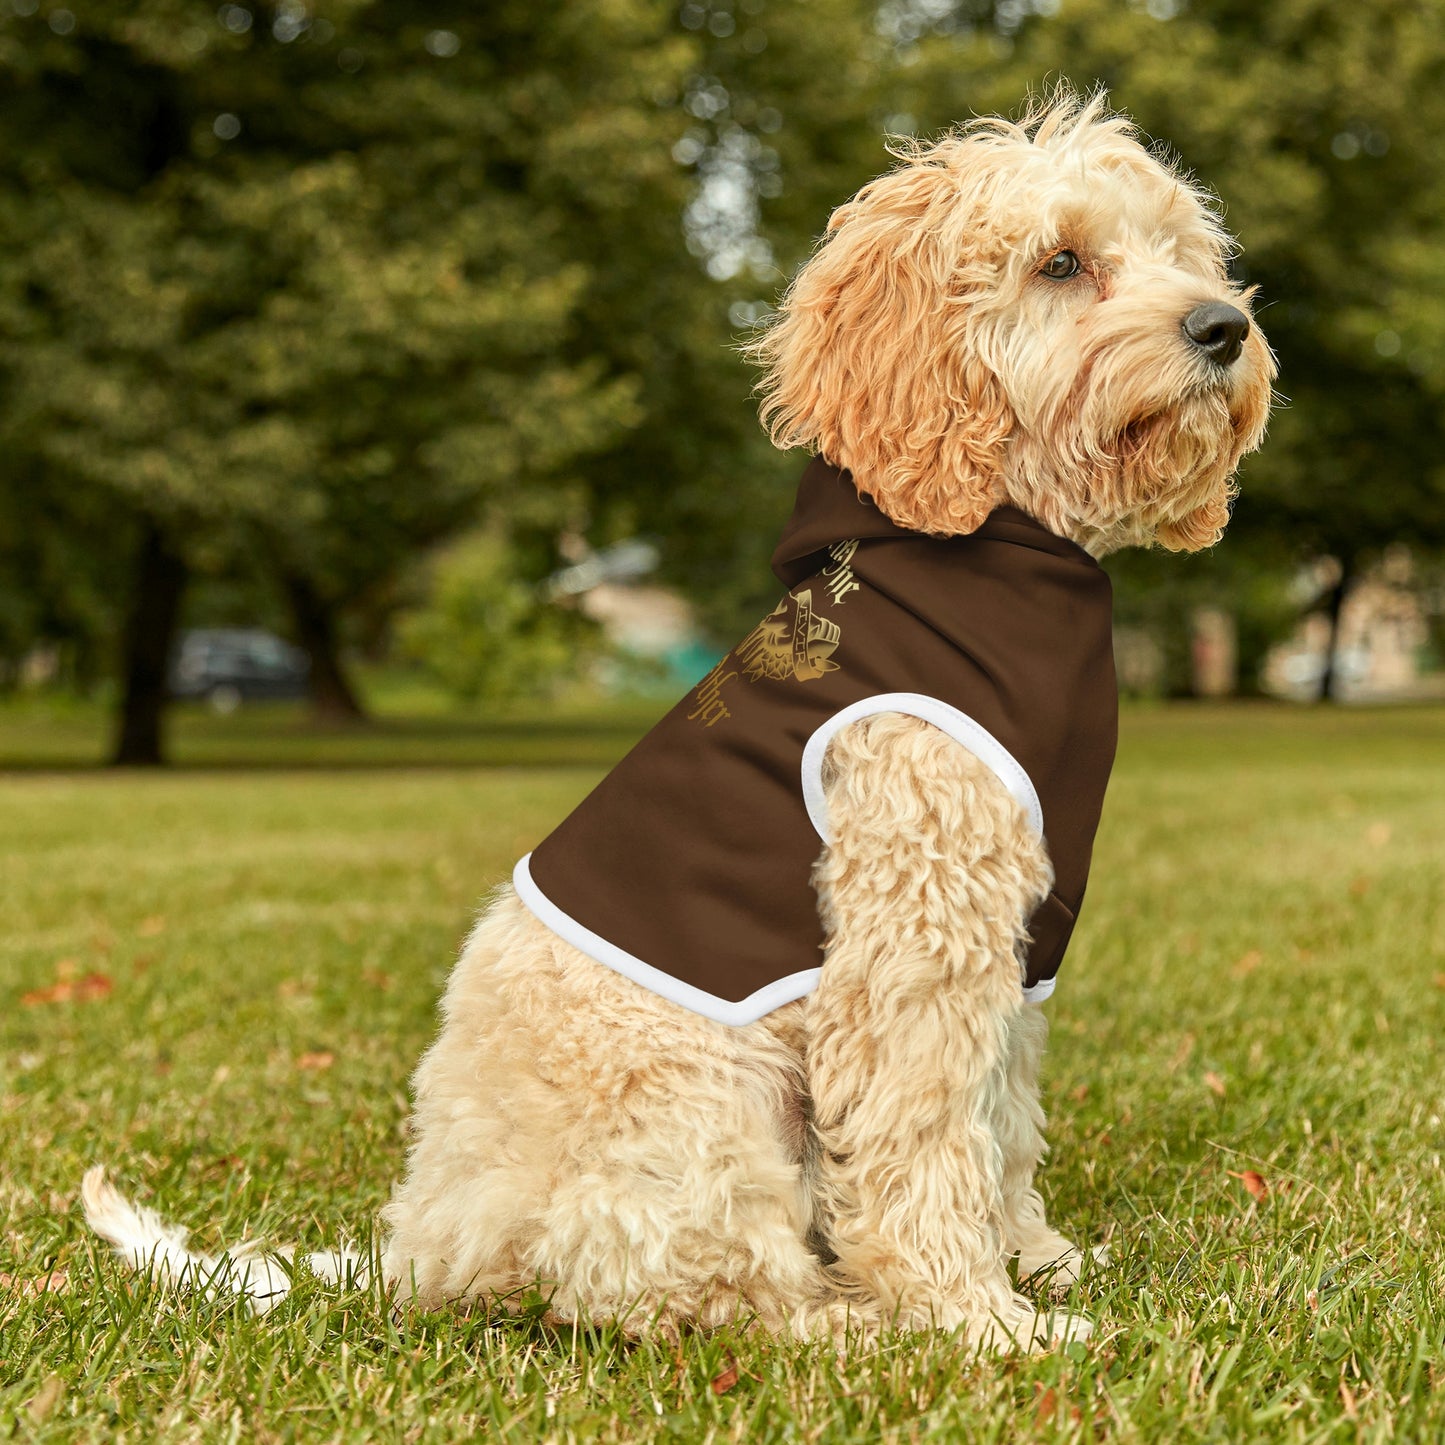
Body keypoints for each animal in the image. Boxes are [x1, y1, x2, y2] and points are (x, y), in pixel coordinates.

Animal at [82, 93, 1277, 1352]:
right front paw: (975, 1318)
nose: (1222, 327)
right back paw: (854, 1321)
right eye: (1060, 262)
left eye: (1180, 252)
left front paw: (1036, 1260)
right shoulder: (913, 936)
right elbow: (923, 1137)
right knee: (707, 1292)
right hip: (706, 1105)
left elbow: (999, 1122)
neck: (994, 548)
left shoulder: (1011, 944)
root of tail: (424, 1248)